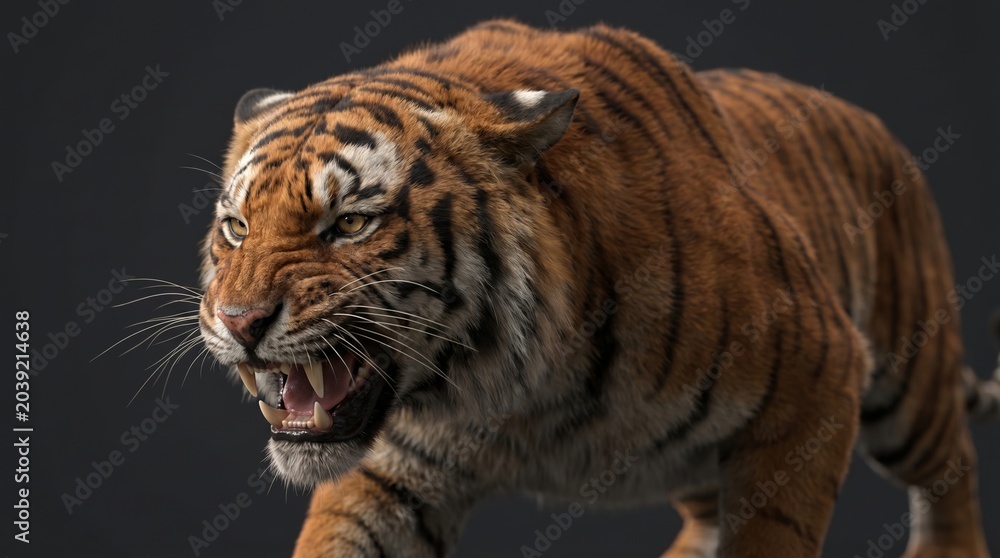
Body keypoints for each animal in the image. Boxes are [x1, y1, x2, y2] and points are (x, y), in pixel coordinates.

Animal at [196, 18, 1000, 558]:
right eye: (236, 227)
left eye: (351, 223)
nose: (239, 321)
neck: (514, 391)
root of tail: (865, 118)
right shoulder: (393, 468)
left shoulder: (817, 372)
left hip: (907, 384)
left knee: (951, 469)